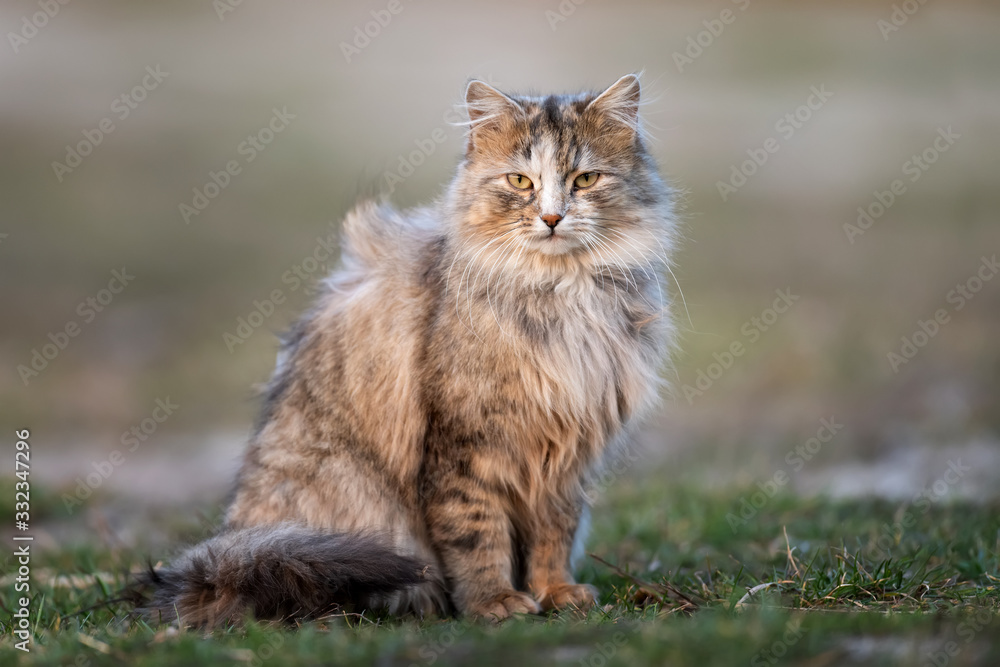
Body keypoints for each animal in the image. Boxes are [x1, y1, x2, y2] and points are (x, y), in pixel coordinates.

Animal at [137, 75, 676, 628]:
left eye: (586, 179)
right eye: (520, 182)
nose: (551, 218)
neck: (561, 295)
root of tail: (224, 561)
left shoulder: (565, 456)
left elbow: (554, 535)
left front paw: (555, 591)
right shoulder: (464, 448)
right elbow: (477, 537)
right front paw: (493, 603)